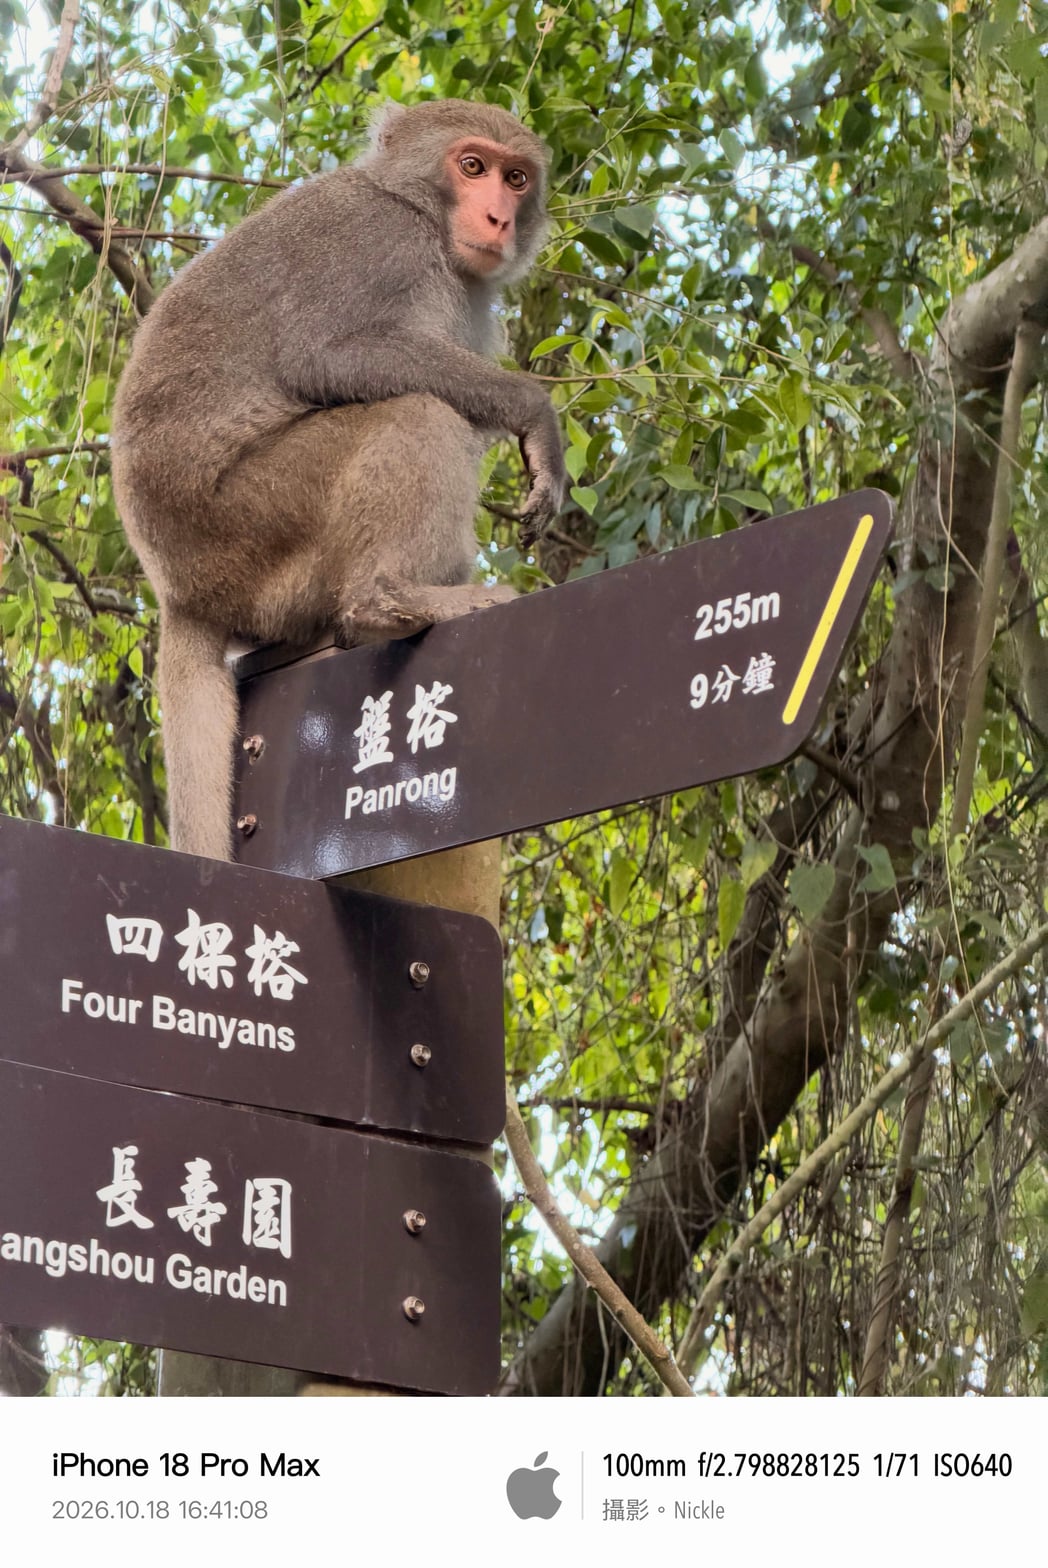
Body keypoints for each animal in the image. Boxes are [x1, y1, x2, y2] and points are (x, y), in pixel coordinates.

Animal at [111, 98, 567, 861]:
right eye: (472, 166)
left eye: (516, 178)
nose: (498, 218)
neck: (418, 211)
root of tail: (179, 590)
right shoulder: (380, 242)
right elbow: (329, 355)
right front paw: (534, 411)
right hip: (251, 525)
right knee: (418, 410)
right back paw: (385, 600)